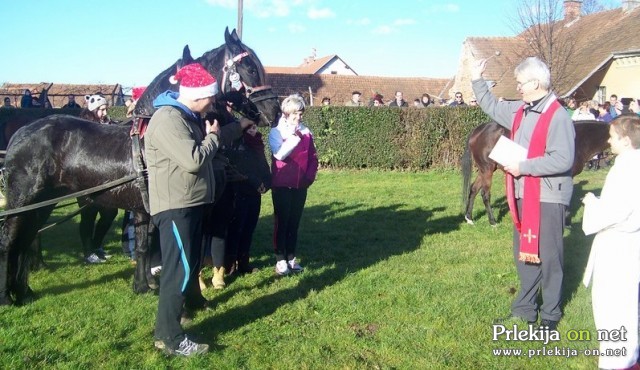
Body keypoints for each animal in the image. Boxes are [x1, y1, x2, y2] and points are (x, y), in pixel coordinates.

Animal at [0, 28, 280, 306]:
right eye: (249, 67)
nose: (274, 111)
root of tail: (20, 134)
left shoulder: (145, 209)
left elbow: (146, 244)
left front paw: (144, 285)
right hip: (24, 202)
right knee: (10, 242)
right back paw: (7, 297)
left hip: (44, 204)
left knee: (26, 240)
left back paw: (24, 291)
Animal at [460, 120, 608, 227]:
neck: (578, 139)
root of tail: (477, 131)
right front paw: (566, 222)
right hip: (487, 169)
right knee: (485, 194)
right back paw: (492, 221)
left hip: (485, 169)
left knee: (473, 189)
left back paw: (469, 218)